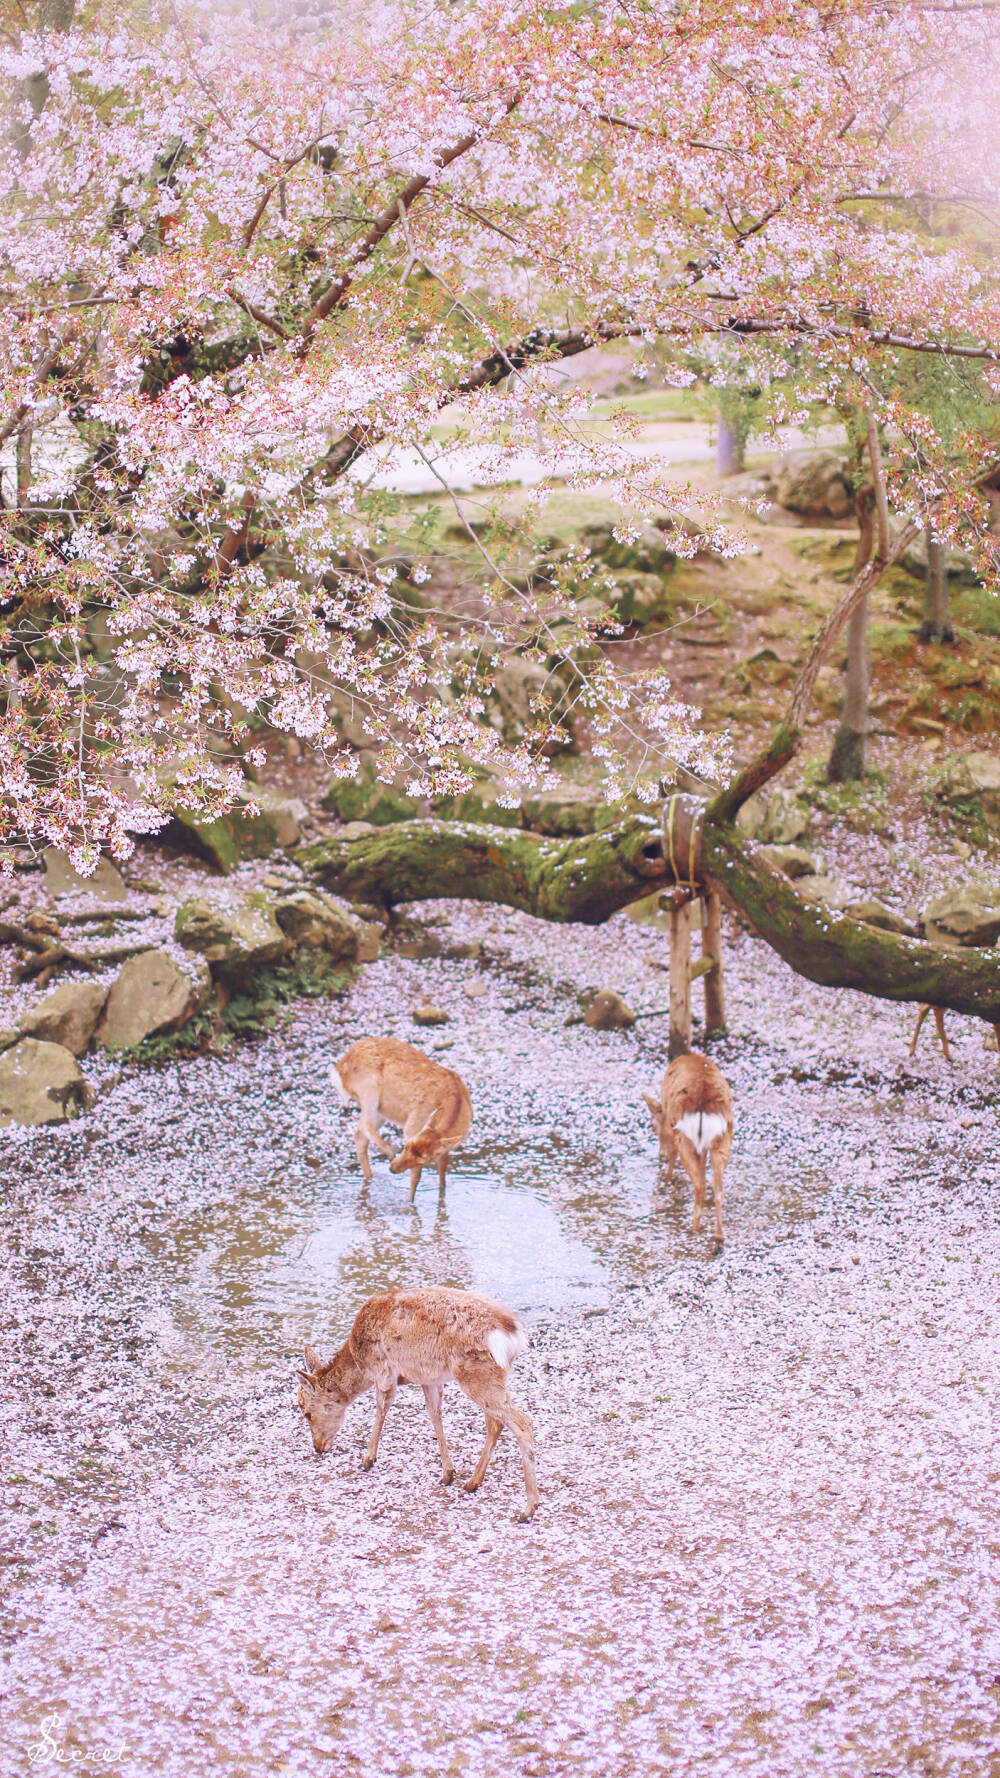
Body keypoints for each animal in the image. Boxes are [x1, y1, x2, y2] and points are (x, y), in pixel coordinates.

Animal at [293, 1287, 537, 1521]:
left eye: (306, 1412)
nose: (318, 1447)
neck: (359, 1362)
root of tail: (513, 1334)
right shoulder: (429, 1379)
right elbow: (435, 1415)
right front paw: (448, 1474)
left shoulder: (384, 1372)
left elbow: (381, 1409)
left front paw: (367, 1460)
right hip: (491, 1376)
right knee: (496, 1423)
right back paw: (472, 1482)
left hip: (475, 1374)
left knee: (522, 1422)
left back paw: (528, 1510)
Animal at [332, 1038, 473, 1201]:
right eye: (405, 1145)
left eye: (424, 1158)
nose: (392, 1168)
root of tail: (341, 1066)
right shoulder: (412, 1127)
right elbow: (416, 1178)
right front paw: (410, 1202)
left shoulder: (445, 1150)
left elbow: (443, 1176)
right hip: (368, 1088)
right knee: (363, 1124)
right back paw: (388, 1151)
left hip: (381, 1111)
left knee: (359, 1135)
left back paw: (370, 1177)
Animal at [637, 1045, 733, 1244]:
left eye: (654, 1126)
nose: (660, 1154)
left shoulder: (671, 1130)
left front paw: (667, 1178)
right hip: (723, 1138)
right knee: (718, 1188)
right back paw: (718, 1236)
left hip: (684, 1138)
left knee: (700, 1185)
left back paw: (694, 1229)